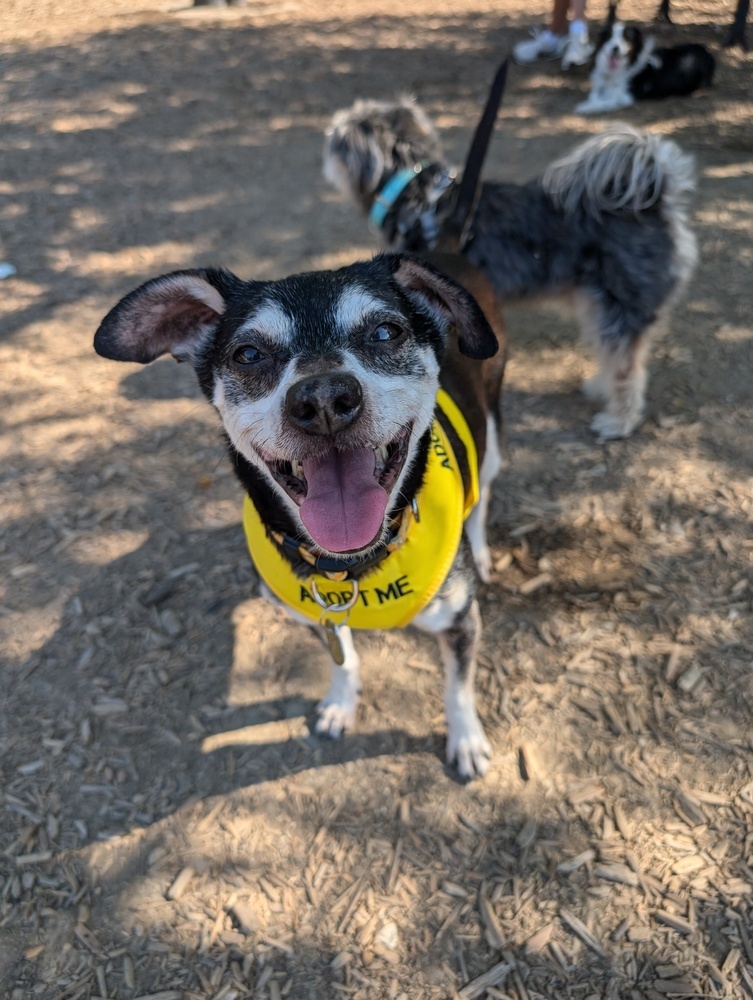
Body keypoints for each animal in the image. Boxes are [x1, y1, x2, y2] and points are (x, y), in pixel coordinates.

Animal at [94, 252, 506, 780]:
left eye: (386, 332)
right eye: (248, 354)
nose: (324, 399)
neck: (354, 568)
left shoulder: (460, 619)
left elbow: (458, 688)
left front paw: (467, 740)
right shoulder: (315, 613)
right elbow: (342, 658)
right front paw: (340, 704)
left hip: (490, 432)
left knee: (484, 490)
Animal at [324, 94, 700, 438]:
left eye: (336, 139)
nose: (328, 134)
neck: (413, 191)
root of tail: (655, 201)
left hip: (620, 306)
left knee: (627, 370)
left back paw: (618, 421)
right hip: (599, 304)